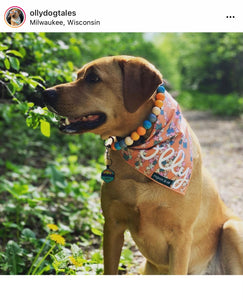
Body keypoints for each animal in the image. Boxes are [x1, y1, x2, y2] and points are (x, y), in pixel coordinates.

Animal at [43, 55, 243, 274]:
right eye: (78, 75)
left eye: (93, 78)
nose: (45, 93)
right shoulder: (113, 226)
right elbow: (110, 269)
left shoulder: (181, 239)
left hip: (233, 229)